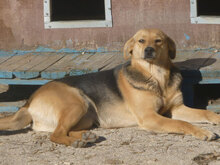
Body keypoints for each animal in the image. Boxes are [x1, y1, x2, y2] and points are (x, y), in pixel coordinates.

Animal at [0, 28, 220, 147]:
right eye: (141, 40)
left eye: (159, 41)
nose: (148, 50)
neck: (157, 77)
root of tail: (28, 103)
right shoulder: (150, 117)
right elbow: (182, 124)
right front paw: (202, 132)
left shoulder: (177, 108)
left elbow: (206, 113)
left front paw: (215, 119)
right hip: (76, 103)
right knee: (56, 134)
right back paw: (76, 142)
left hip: (87, 115)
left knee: (62, 130)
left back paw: (86, 136)